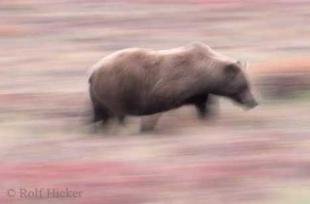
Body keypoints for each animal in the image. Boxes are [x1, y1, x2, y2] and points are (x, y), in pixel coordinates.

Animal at [87, 42, 256, 131]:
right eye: (244, 85)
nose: (253, 102)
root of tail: (93, 71)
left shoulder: (201, 92)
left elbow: (204, 105)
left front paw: (206, 118)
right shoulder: (171, 85)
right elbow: (158, 102)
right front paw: (148, 126)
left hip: (100, 94)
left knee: (101, 112)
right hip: (116, 88)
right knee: (117, 111)